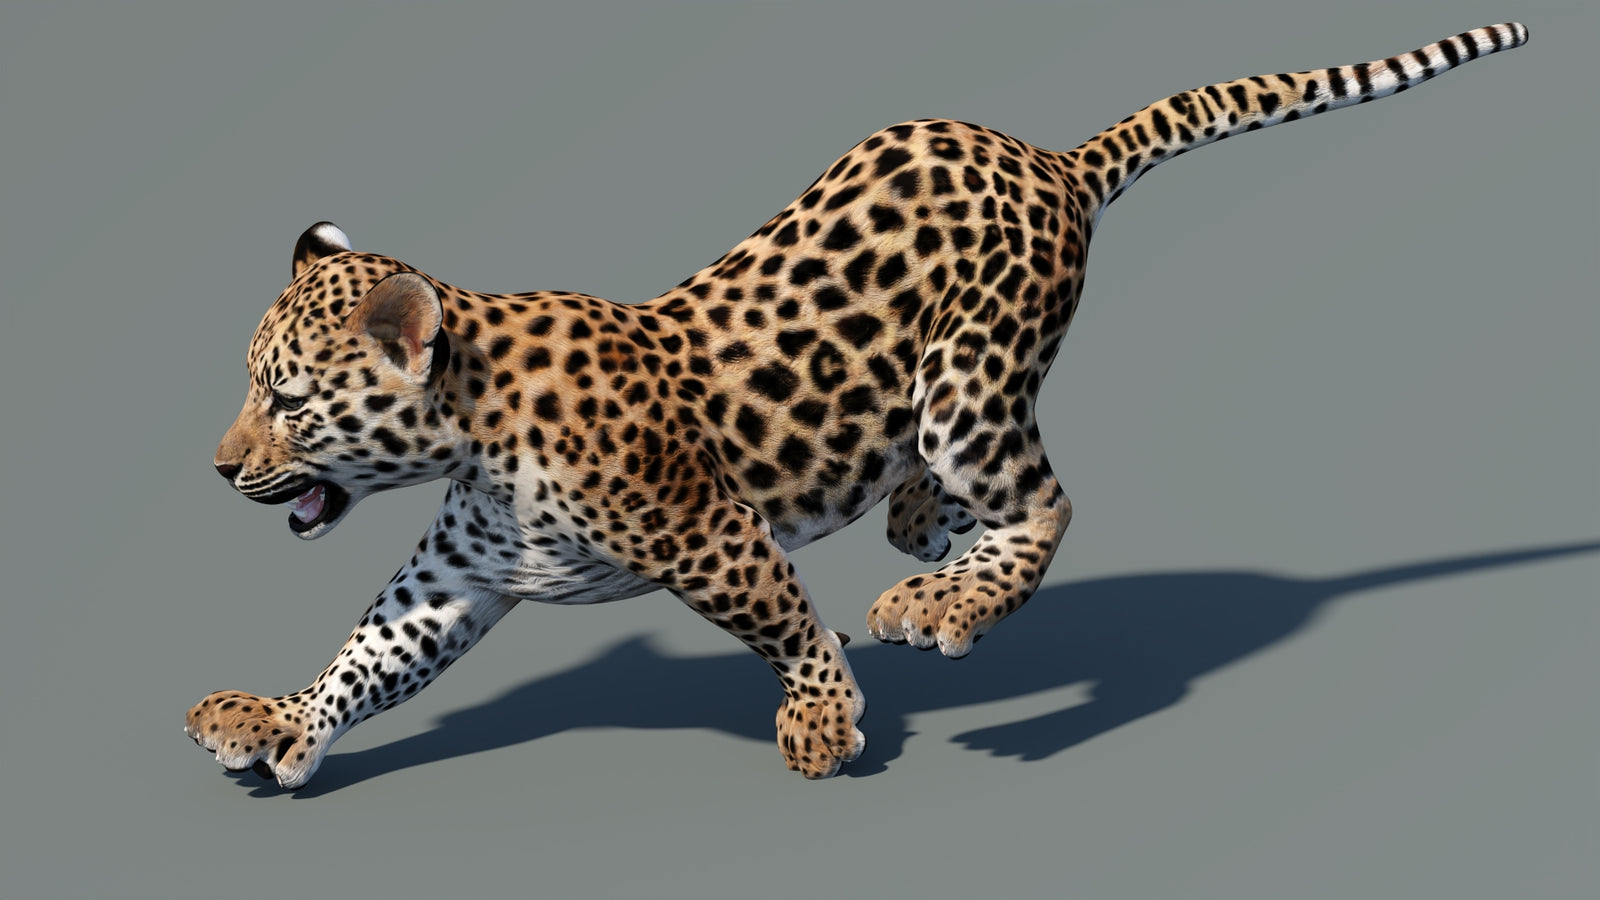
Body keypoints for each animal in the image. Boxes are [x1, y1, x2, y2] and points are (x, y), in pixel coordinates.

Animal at [188, 24, 1528, 787]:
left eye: (287, 399)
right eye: (253, 388)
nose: (218, 467)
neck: (468, 432)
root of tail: (1050, 160)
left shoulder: (705, 532)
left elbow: (783, 618)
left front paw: (824, 721)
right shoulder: (457, 576)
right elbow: (369, 652)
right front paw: (281, 722)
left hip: (971, 382)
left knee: (1046, 502)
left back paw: (939, 605)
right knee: (949, 501)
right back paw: (927, 541)